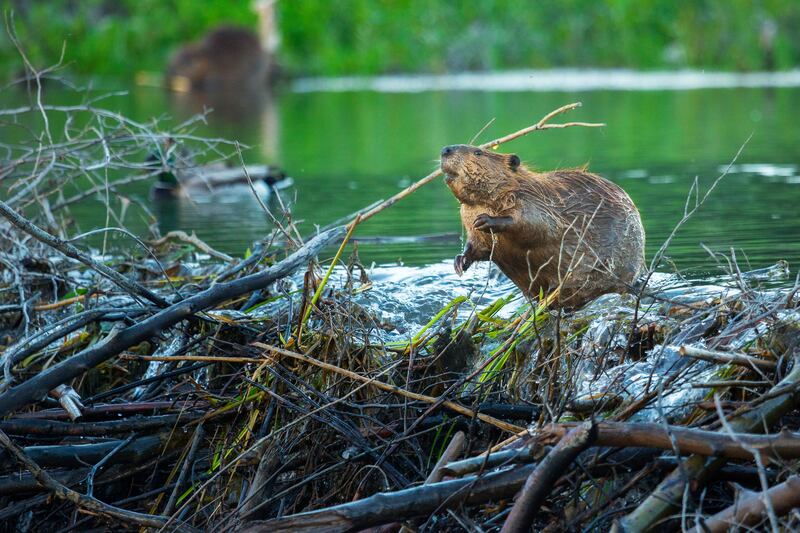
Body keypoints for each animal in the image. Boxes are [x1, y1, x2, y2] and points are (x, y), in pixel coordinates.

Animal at [440, 143, 648, 308]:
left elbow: (538, 225)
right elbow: (478, 246)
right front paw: (460, 261)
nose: (445, 150)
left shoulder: (533, 200)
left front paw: (486, 220)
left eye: (478, 152)